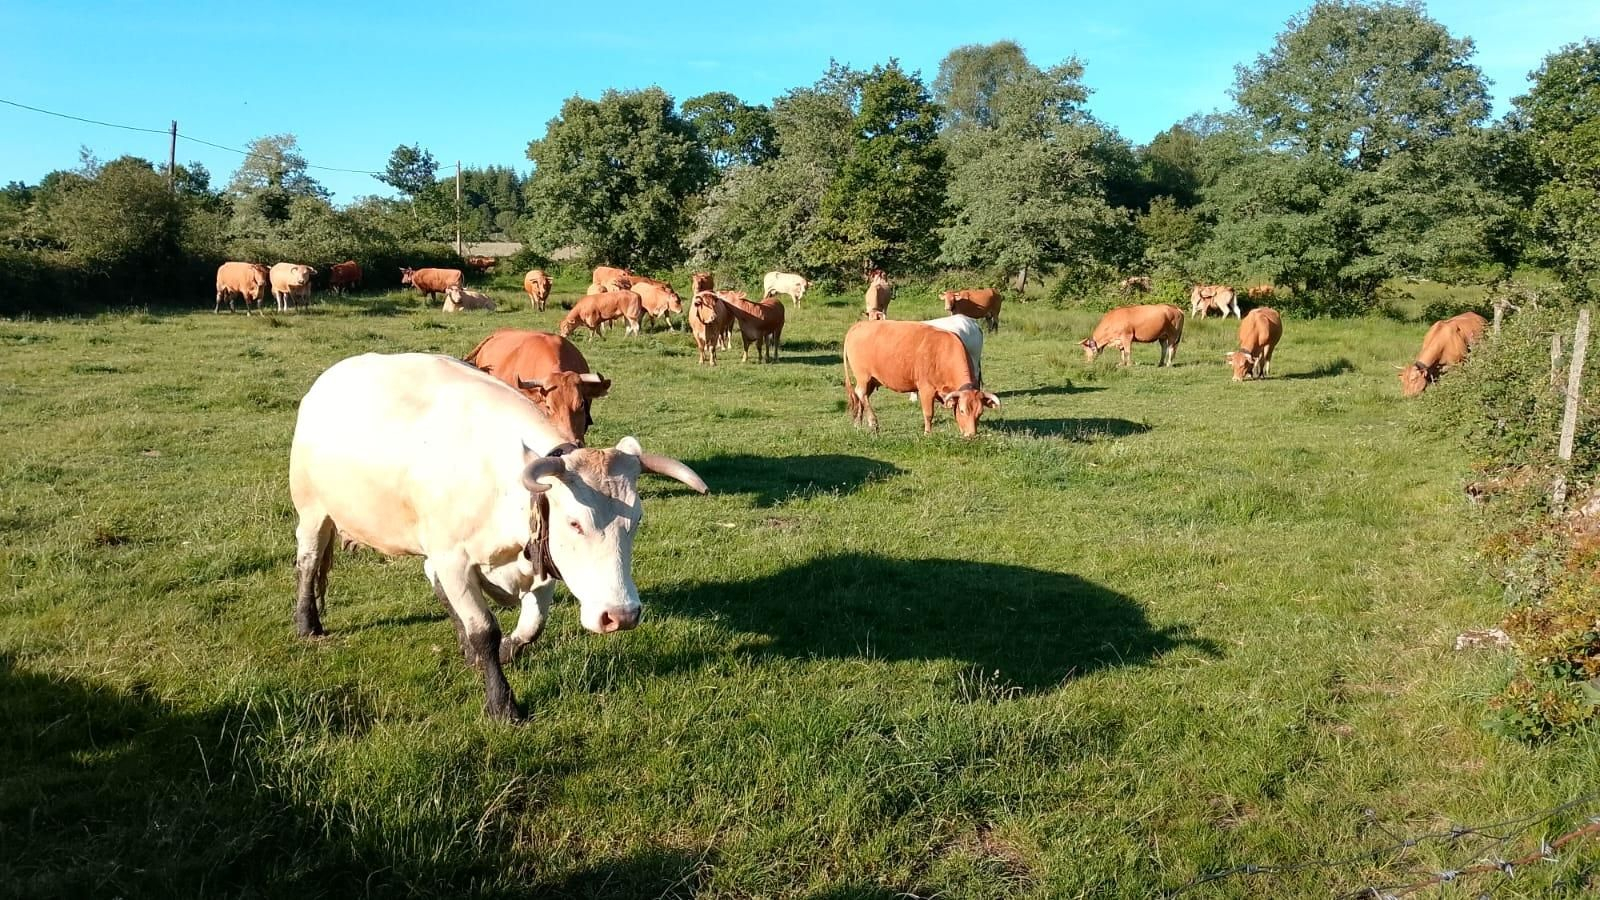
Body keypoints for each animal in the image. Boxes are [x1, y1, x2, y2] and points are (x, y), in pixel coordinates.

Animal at [288, 352, 707, 720]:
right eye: (574, 523)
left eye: (635, 520)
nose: (621, 615)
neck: (497, 484)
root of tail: (328, 380)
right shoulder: (455, 560)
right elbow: (483, 630)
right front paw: (502, 704)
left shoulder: (540, 562)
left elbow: (531, 627)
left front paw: (506, 650)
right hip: (313, 510)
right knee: (308, 560)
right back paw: (308, 624)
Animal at [843, 319, 1000, 438]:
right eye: (962, 411)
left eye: (980, 413)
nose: (971, 435)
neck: (943, 352)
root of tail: (859, 325)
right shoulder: (926, 389)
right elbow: (929, 414)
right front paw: (927, 433)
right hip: (863, 376)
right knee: (861, 393)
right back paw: (873, 422)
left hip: (872, 379)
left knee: (861, 398)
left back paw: (858, 424)